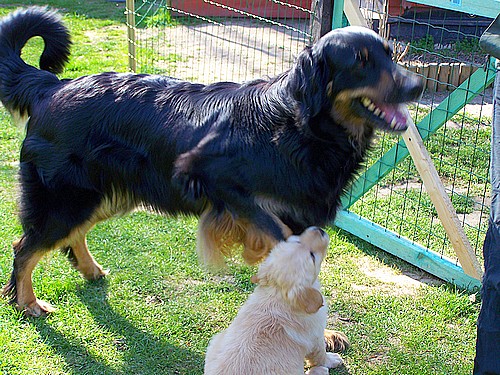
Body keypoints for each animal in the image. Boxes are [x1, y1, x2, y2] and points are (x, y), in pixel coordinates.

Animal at [0, 5, 422, 324]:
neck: (297, 125)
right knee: (25, 246)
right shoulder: (211, 176)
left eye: (389, 53)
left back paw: (90, 271)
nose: (417, 86)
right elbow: (282, 236)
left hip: (105, 195)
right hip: (67, 199)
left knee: (71, 236)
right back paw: (27, 302)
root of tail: (52, 86)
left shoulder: (302, 211)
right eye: (361, 62)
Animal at [204, 228, 344, 374]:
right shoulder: (316, 336)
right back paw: (320, 371)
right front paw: (332, 360)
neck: (278, 293)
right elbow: (320, 354)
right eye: (312, 256)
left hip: (215, 341)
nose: (319, 230)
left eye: (296, 240)